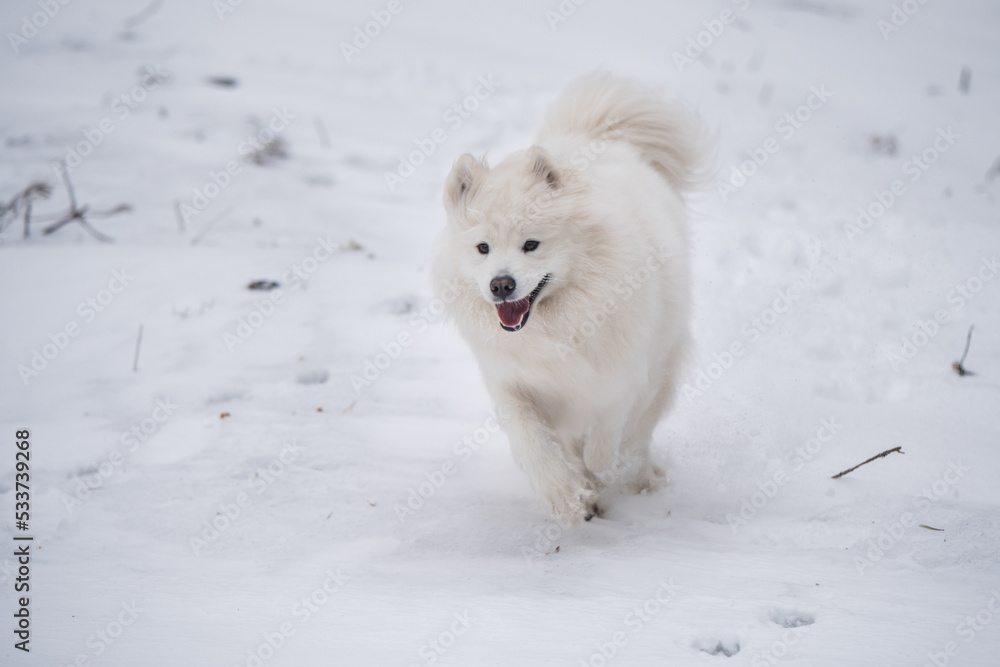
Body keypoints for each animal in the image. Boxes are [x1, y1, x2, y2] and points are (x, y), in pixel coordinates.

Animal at [434, 72, 708, 520]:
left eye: (531, 245)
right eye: (483, 248)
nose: (501, 285)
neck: (556, 326)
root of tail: (597, 134)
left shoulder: (619, 377)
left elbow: (605, 440)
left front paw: (599, 479)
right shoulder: (514, 383)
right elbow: (534, 442)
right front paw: (566, 495)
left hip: (662, 367)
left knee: (638, 436)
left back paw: (642, 477)